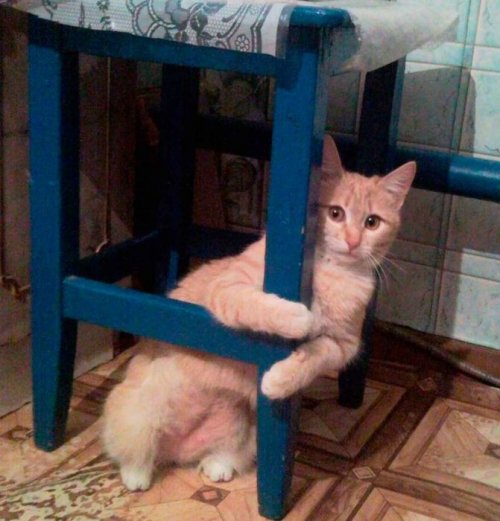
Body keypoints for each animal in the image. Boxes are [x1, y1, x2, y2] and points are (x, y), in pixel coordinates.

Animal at [102, 135, 416, 491]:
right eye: (336, 213)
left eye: (372, 222)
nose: (352, 241)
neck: (331, 272)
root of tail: (178, 453)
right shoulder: (228, 288)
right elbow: (258, 304)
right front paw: (300, 316)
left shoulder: (344, 345)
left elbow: (315, 355)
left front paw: (279, 380)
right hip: (141, 410)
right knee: (133, 449)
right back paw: (137, 475)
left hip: (245, 429)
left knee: (224, 453)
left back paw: (218, 465)